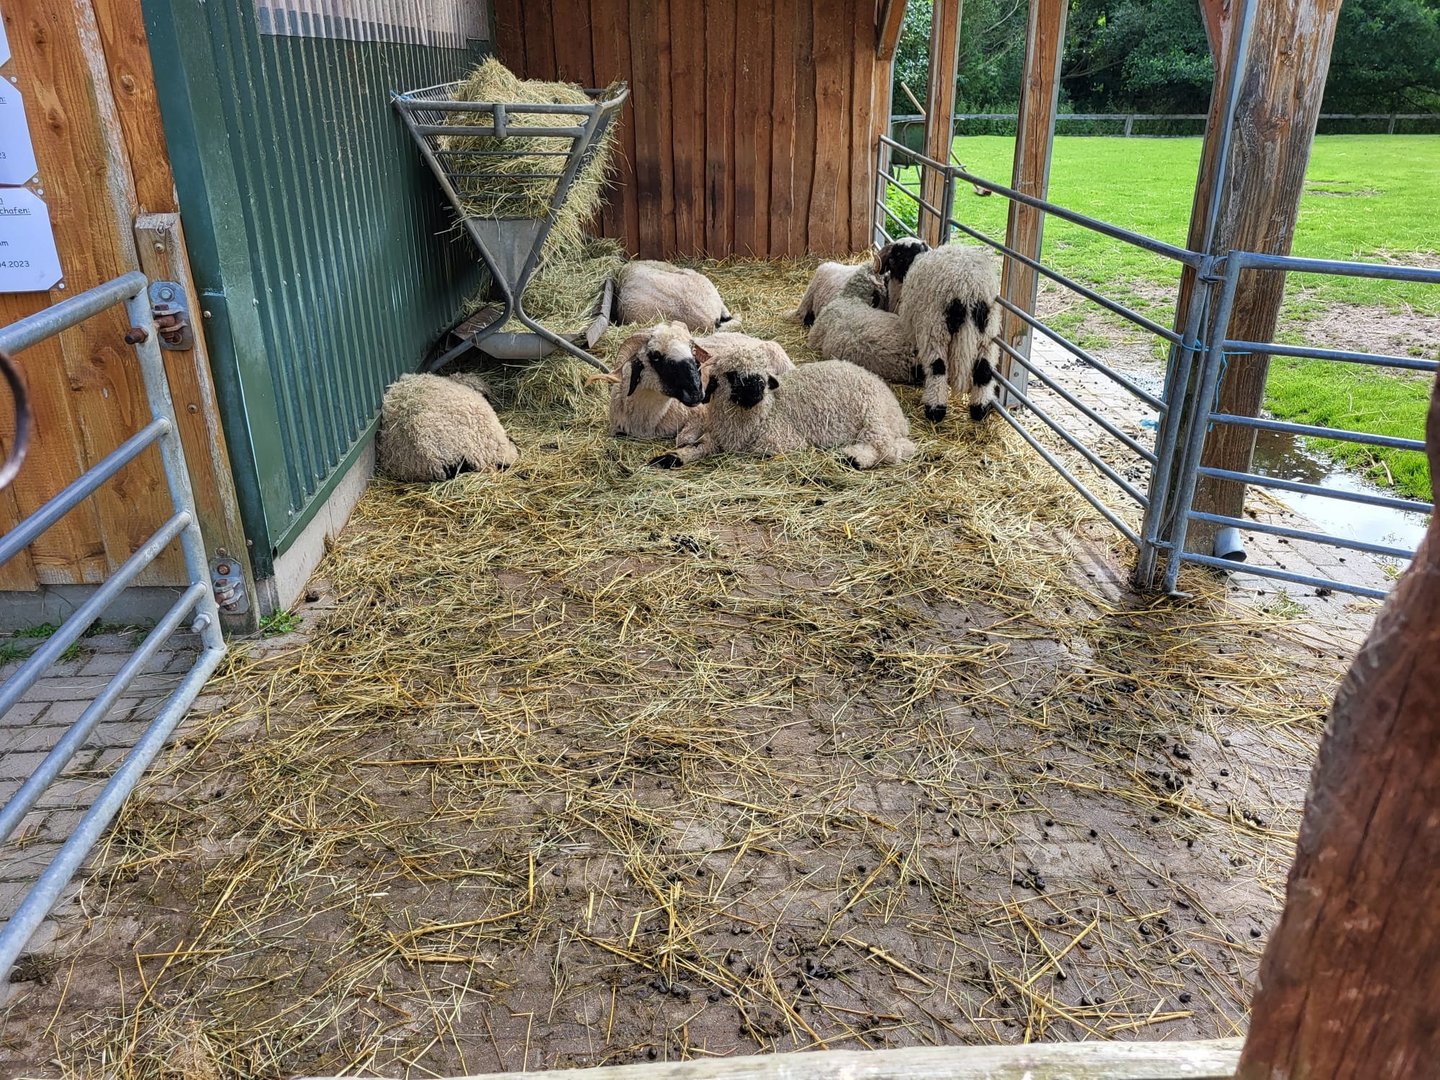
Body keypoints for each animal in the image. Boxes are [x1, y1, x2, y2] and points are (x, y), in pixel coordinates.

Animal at [649, 345, 916, 471]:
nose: (756, 387)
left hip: (874, 416)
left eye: (763, 376)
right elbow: (697, 446)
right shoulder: (719, 437)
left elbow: (761, 450)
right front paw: (669, 458)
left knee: (887, 449)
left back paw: (854, 458)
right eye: (732, 375)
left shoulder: (781, 442)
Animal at [895, 243, 1002, 424]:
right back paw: (980, 409)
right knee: (984, 370)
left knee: (938, 368)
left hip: (935, 329)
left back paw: (935, 410)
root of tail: (968, 289)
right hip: (988, 334)